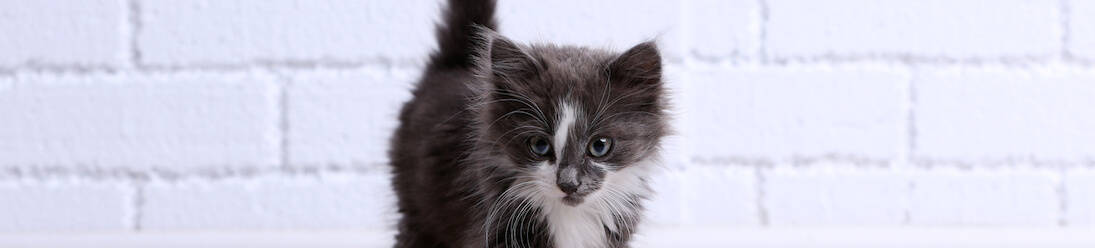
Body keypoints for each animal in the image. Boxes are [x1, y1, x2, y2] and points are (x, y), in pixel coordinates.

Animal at [389, 0, 670, 246]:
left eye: (599, 146)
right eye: (539, 145)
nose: (569, 184)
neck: (570, 218)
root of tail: (456, 66)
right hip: (418, 207)